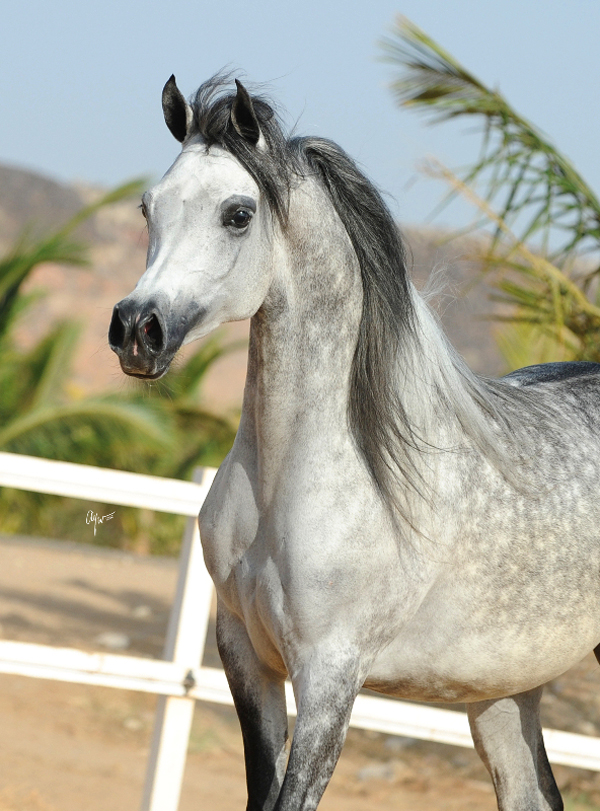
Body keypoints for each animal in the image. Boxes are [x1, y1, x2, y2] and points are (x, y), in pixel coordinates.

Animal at [110, 73, 600, 808]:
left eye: (237, 214)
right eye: (149, 207)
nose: (138, 330)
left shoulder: (330, 677)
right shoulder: (245, 657)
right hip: (506, 694)